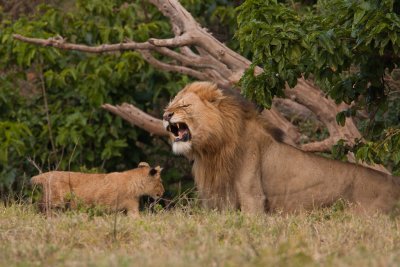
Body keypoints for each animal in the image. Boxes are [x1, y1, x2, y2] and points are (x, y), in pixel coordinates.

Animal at [29, 161, 164, 218]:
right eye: (160, 181)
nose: (163, 192)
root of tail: (45, 175)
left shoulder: (132, 207)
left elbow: (136, 218)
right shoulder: (103, 204)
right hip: (56, 200)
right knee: (41, 208)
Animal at [162, 81, 400, 214]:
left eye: (184, 105)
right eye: (169, 104)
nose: (165, 115)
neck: (214, 148)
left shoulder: (252, 195)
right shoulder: (219, 196)